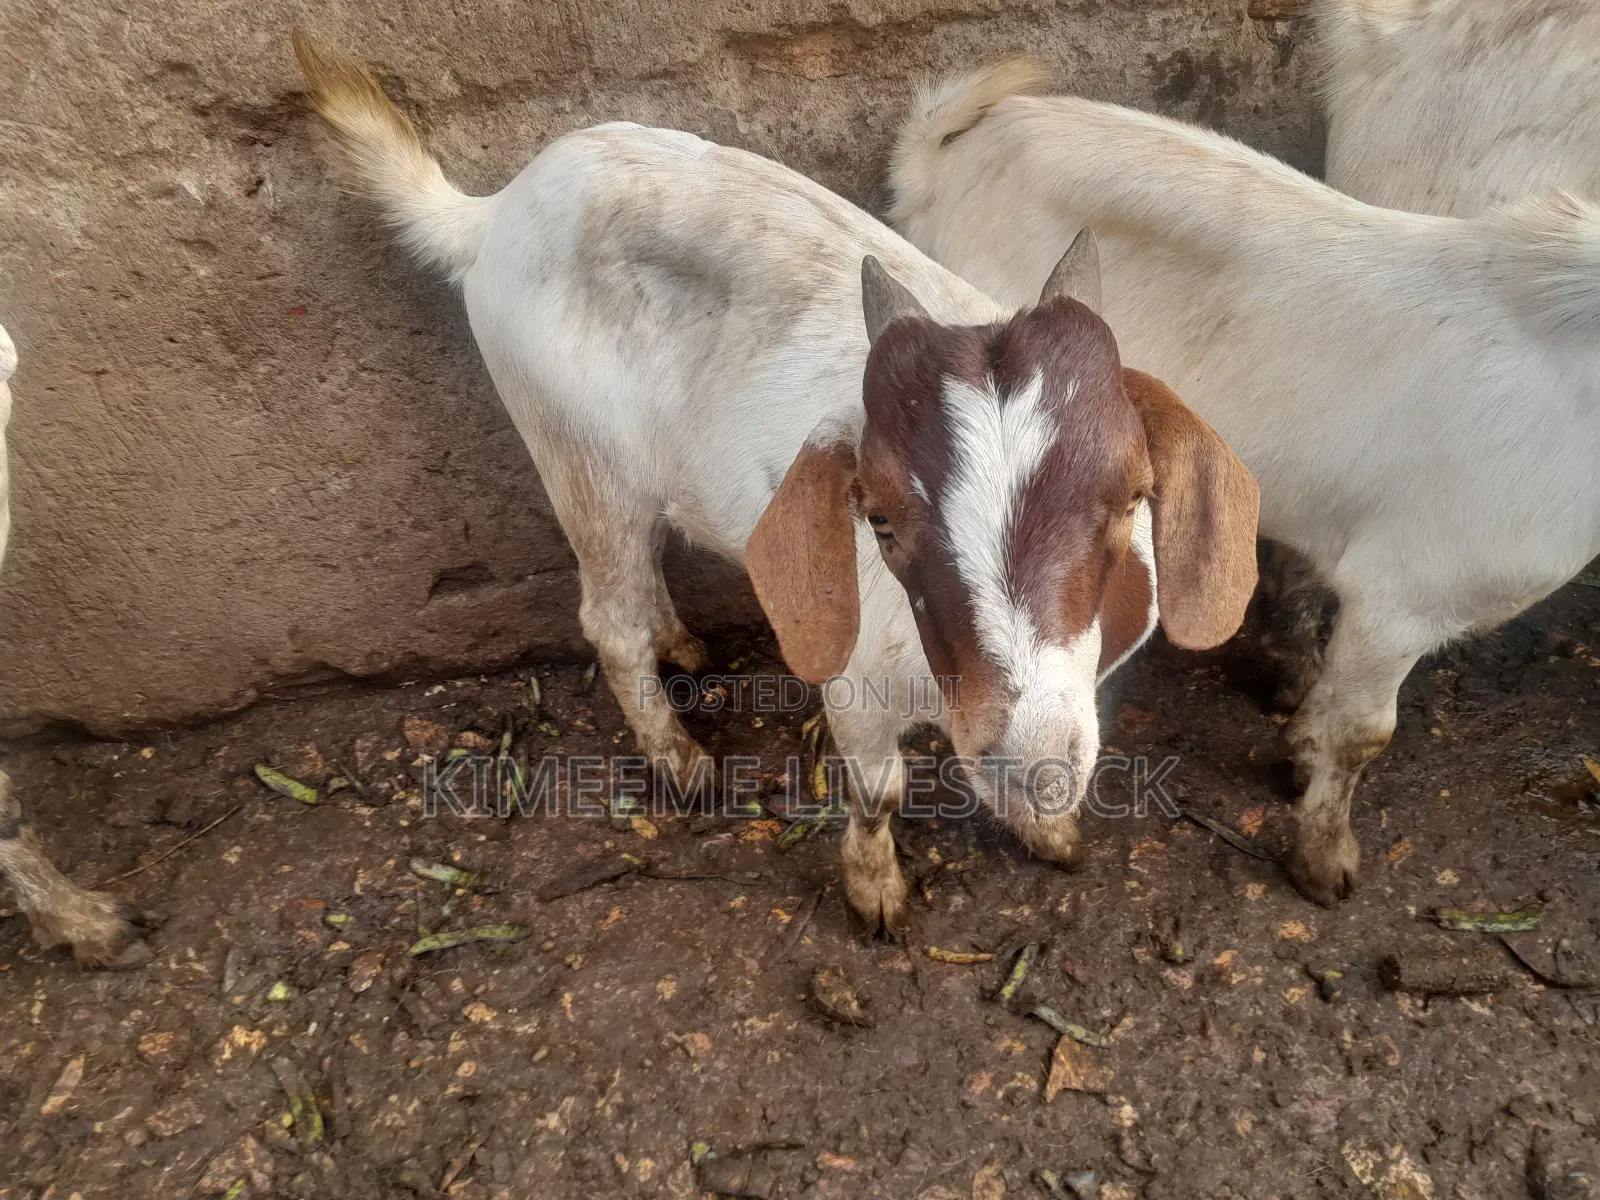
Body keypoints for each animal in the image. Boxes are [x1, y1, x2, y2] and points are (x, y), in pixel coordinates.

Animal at [292, 33, 1259, 932]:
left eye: (1129, 497)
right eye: (879, 519)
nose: (1031, 764)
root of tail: (493, 213)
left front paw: (1046, 828)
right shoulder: (857, 680)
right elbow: (876, 790)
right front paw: (875, 894)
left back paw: (683, 642)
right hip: (576, 453)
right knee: (608, 616)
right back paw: (680, 762)